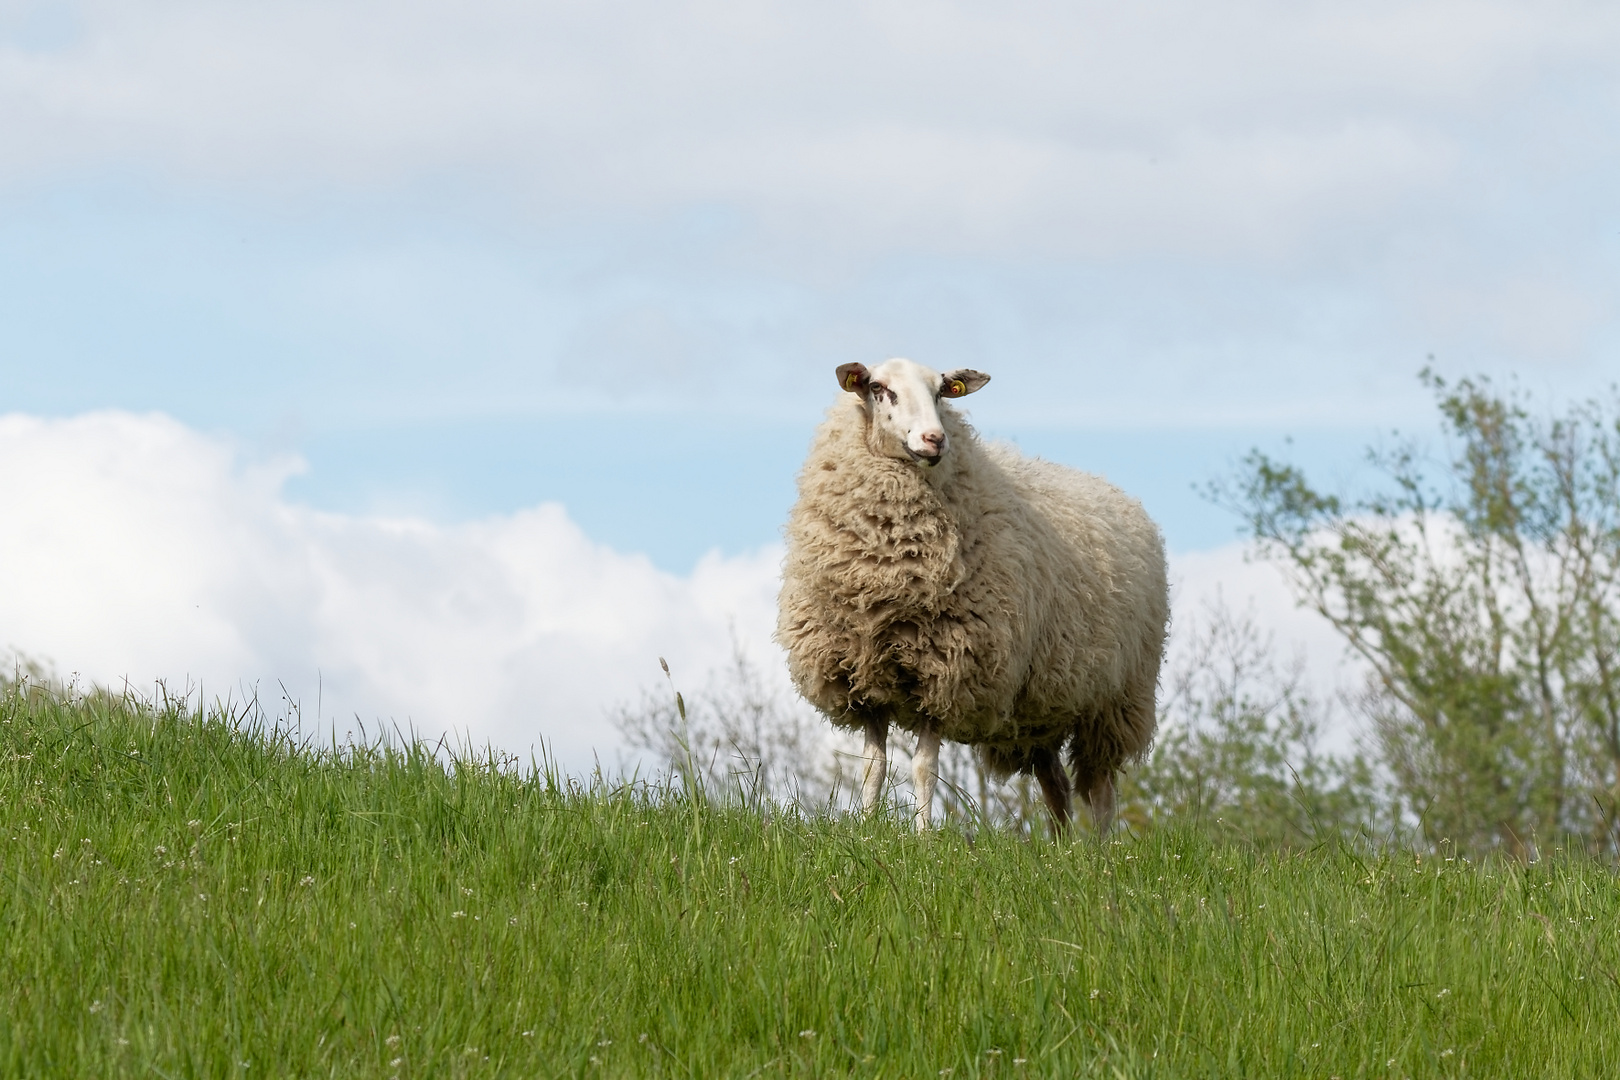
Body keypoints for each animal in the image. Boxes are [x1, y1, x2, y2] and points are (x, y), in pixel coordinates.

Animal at [771, 359, 1166, 835]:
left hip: (1114, 700)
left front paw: (922, 837)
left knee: (1102, 791)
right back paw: (1062, 846)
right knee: (1056, 786)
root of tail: (1117, 492)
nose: (934, 439)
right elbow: (872, 768)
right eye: (880, 389)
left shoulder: (944, 672)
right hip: (1039, 712)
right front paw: (866, 832)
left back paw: (1102, 848)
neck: (885, 571)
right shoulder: (865, 682)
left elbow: (924, 767)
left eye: (943, 391)